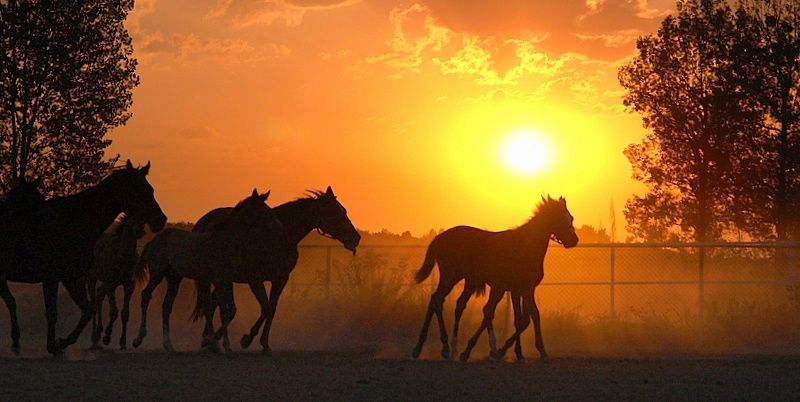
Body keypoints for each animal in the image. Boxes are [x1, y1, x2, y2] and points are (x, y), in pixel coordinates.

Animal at [90, 214, 146, 348]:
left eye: (143, 218)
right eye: (131, 217)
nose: (140, 231)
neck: (122, 257)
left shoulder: (129, 285)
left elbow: (125, 313)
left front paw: (123, 342)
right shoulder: (110, 283)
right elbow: (113, 311)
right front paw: (107, 336)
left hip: (106, 282)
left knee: (99, 296)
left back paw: (99, 331)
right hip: (92, 277)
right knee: (93, 301)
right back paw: (94, 336)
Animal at [130, 188, 282, 352]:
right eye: (263, 210)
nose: (278, 227)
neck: (223, 242)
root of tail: (154, 240)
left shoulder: (227, 281)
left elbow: (230, 310)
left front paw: (217, 342)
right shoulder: (219, 280)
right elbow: (223, 311)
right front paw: (217, 342)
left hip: (174, 278)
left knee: (166, 306)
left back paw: (169, 345)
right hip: (157, 274)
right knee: (146, 295)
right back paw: (138, 339)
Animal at [192, 187, 358, 354]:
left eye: (343, 210)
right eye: (333, 212)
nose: (356, 238)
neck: (278, 237)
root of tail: (203, 221)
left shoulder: (280, 279)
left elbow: (271, 309)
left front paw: (264, 343)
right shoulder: (255, 280)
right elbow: (265, 307)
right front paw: (247, 339)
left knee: (213, 303)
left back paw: (209, 340)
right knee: (208, 304)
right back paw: (210, 340)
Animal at [410, 195, 580, 362]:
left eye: (571, 218)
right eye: (560, 218)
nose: (574, 240)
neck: (524, 246)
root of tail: (439, 237)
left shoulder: (523, 289)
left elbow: (524, 319)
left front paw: (518, 352)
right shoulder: (512, 288)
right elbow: (521, 316)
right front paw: (504, 350)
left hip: (469, 282)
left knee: (454, 304)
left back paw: (448, 348)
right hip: (450, 277)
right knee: (437, 300)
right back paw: (437, 347)